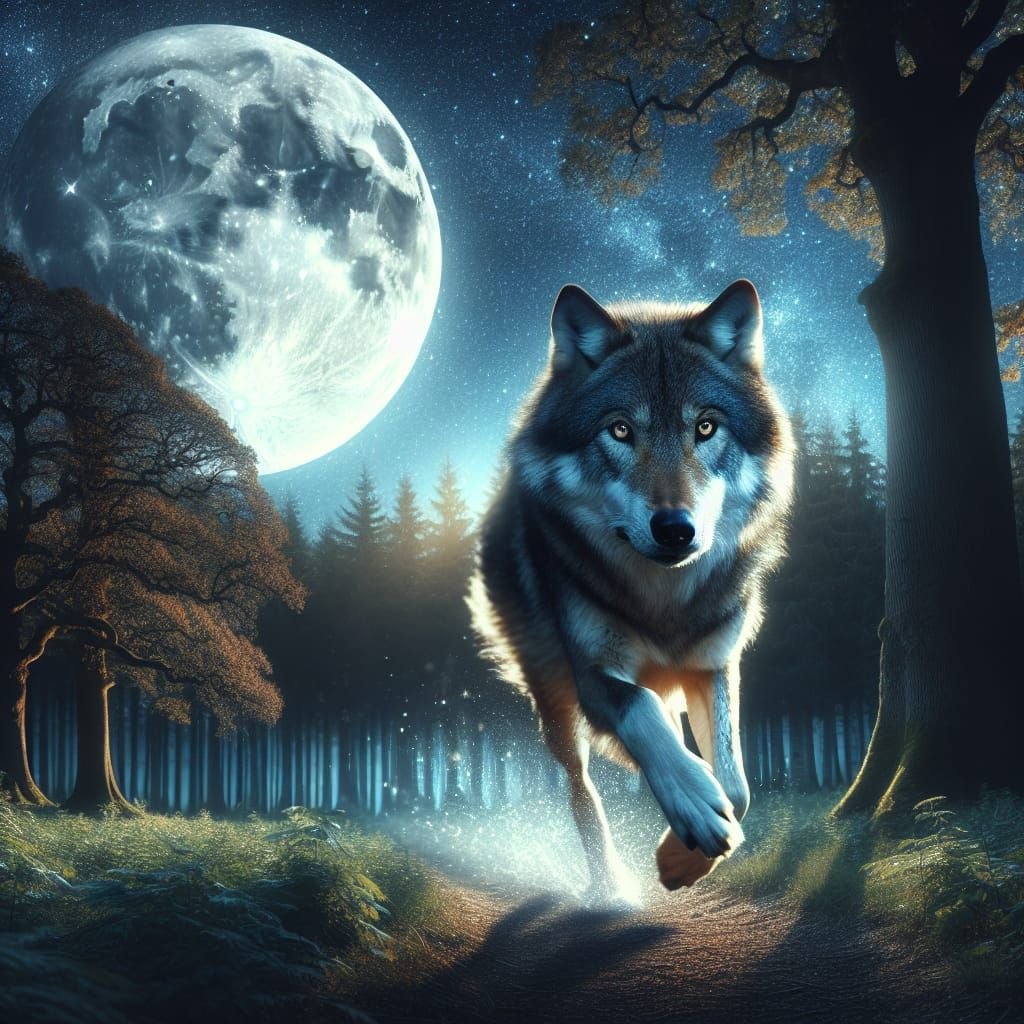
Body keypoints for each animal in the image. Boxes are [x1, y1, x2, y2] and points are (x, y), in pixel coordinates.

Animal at [469, 279, 793, 897]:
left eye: (706, 427)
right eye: (620, 430)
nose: (675, 528)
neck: (663, 601)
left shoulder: (715, 663)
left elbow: (737, 787)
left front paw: (682, 854)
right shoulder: (594, 676)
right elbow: (640, 711)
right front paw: (693, 808)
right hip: (552, 696)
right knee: (582, 788)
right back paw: (609, 887)